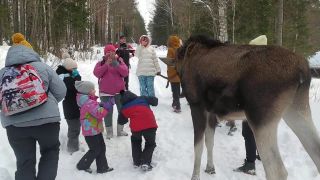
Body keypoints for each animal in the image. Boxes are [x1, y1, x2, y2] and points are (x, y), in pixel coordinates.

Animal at [175, 35, 320, 180]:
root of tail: (303, 72)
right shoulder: (210, 111)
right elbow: (210, 141)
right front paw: (210, 168)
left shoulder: (197, 105)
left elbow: (197, 146)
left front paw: (195, 176)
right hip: (297, 109)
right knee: (315, 150)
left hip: (261, 121)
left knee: (277, 170)